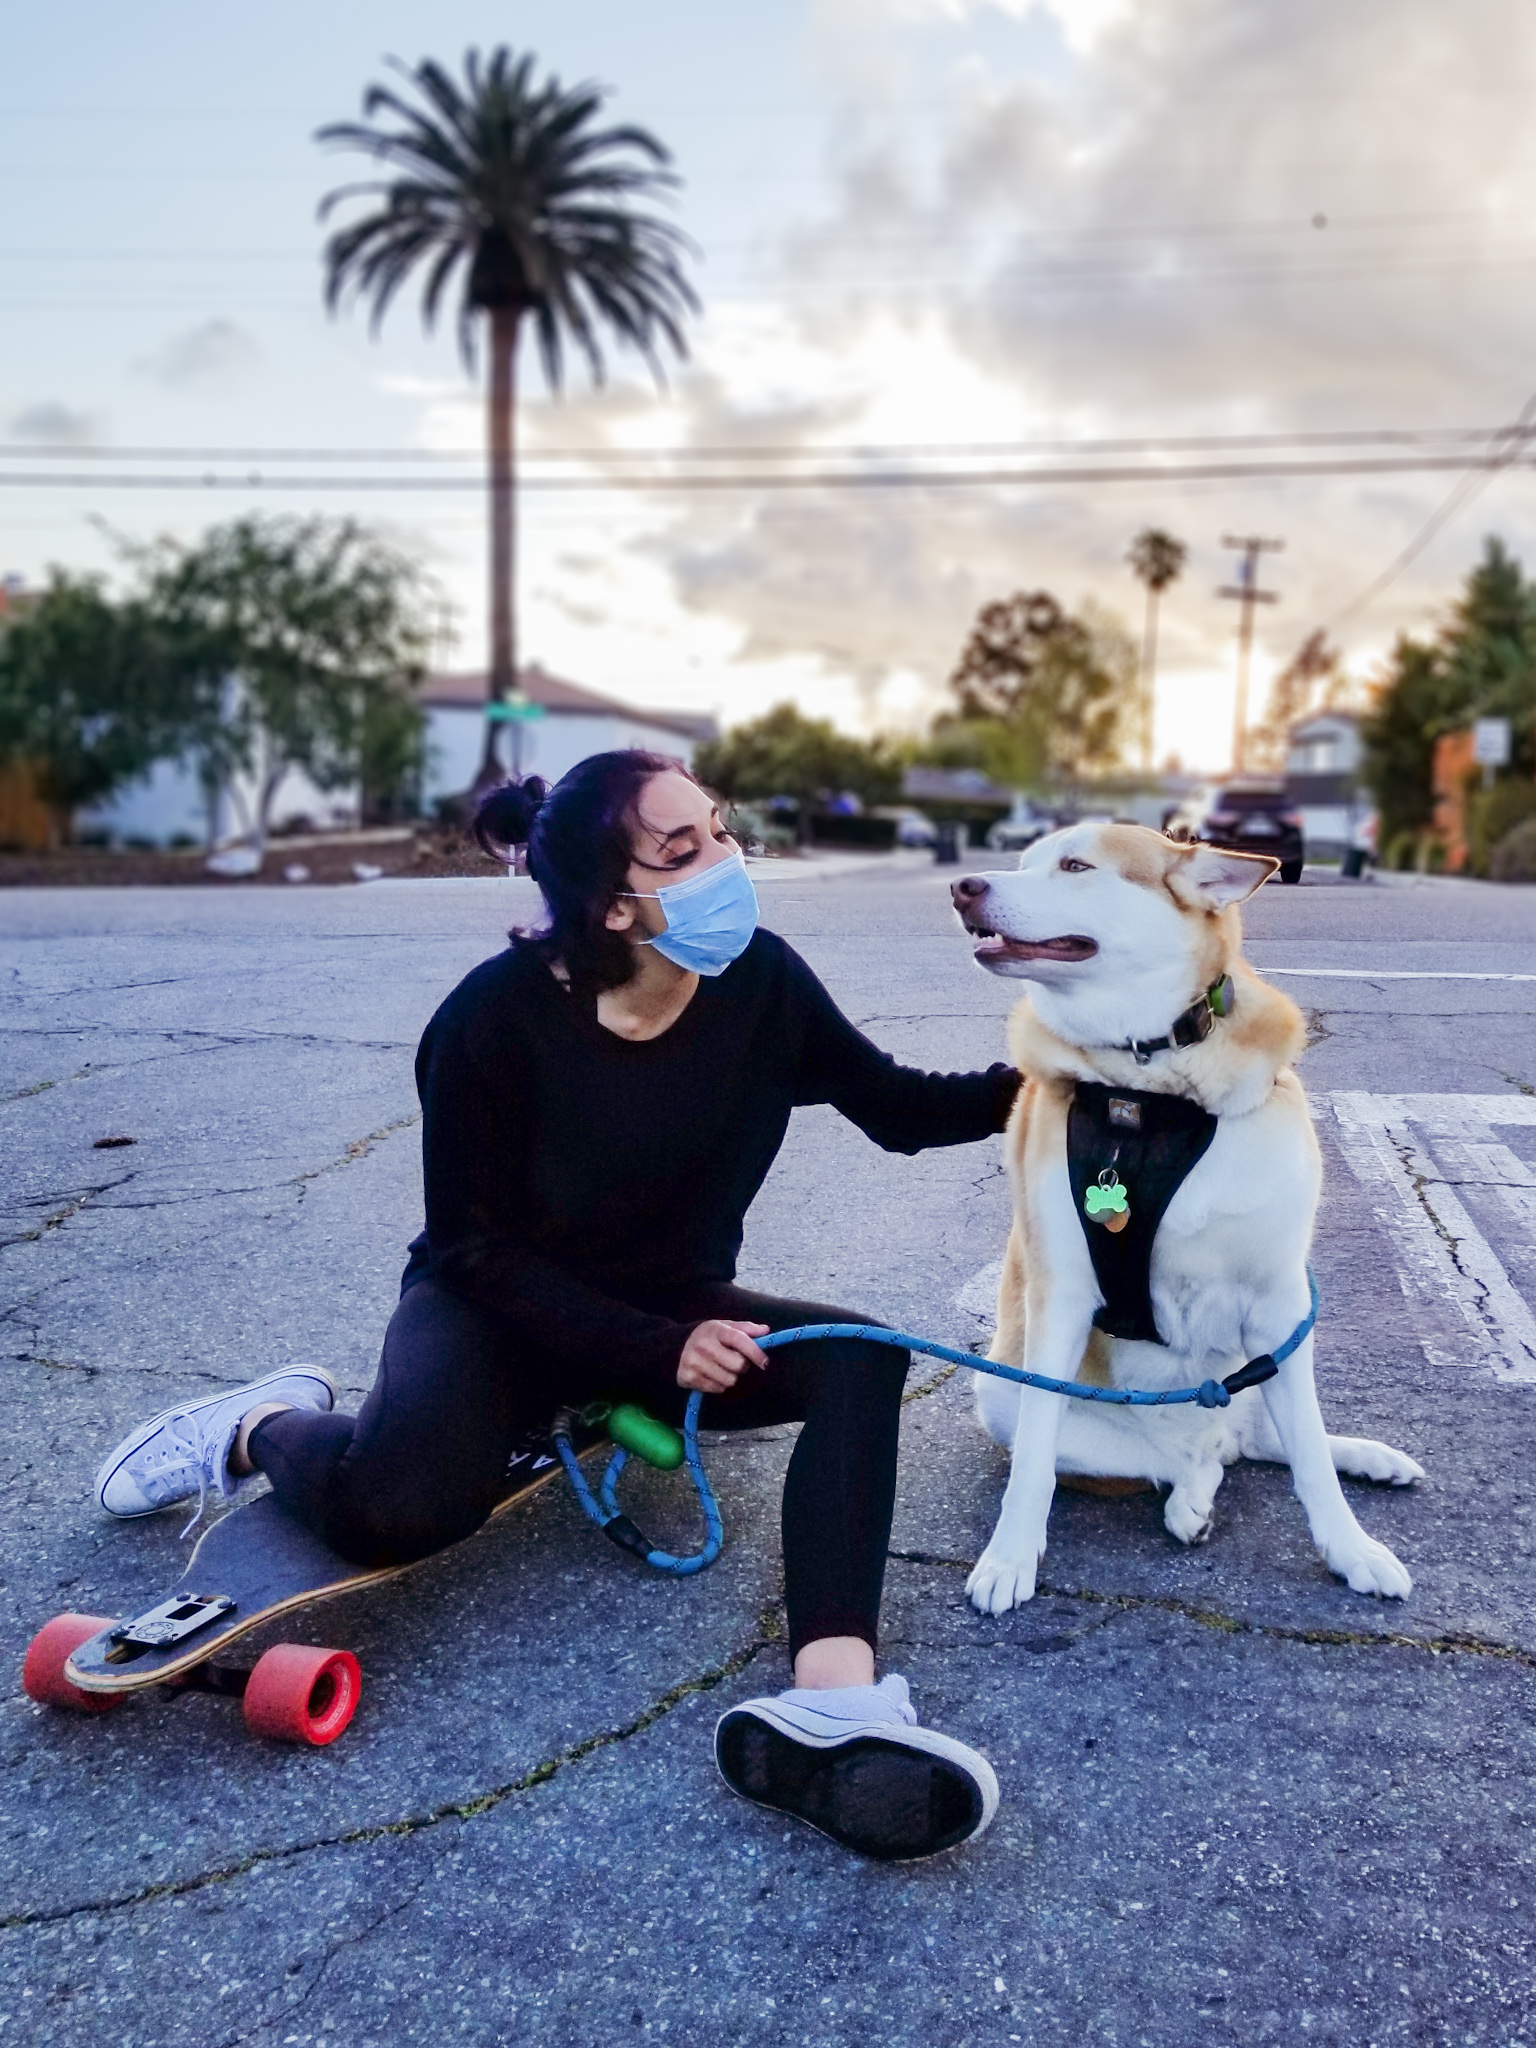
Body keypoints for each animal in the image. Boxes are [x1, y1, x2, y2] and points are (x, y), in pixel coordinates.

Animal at [951, 822, 1422, 1616]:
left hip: (1261, 1365)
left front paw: (1351, 1550)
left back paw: (1370, 1460)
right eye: (1020, 862)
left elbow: (1310, 1460)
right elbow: (1035, 1465)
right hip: (1000, 1391)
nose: (962, 887)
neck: (1151, 1084)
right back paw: (1190, 1499)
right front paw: (1011, 1555)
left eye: (1074, 866)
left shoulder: (1281, 1305)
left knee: (1266, 1441)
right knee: (1191, 1459)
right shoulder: (1060, 1299)